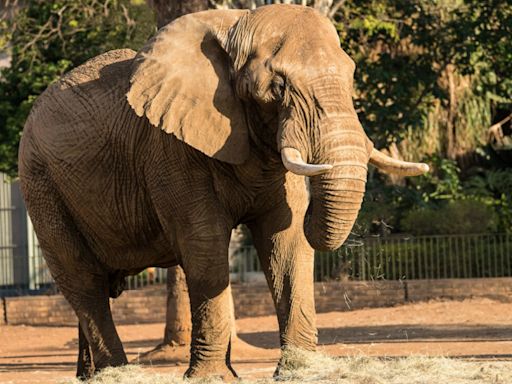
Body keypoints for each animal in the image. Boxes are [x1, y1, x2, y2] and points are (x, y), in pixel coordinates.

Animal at [18, 3, 428, 380]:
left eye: (351, 76)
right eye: (278, 87)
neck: (235, 22)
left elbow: (286, 240)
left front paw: (300, 370)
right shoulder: (170, 147)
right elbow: (205, 245)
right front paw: (214, 377)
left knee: (96, 287)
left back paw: (89, 376)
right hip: (40, 184)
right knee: (82, 279)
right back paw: (116, 374)